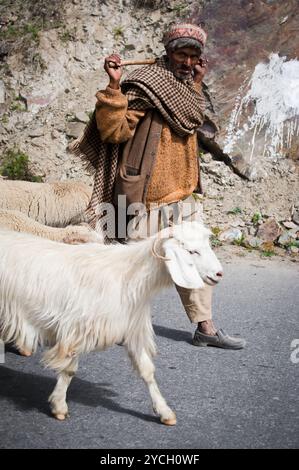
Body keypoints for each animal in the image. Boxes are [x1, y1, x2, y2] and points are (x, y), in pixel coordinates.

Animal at [0, 221, 223, 426]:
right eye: (192, 251)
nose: (219, 274)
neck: (127, 277)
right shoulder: (77, 328)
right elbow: (69, 370)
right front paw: (59, 406)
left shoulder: (132, 329)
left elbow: (147, 371)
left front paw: (164, 411)